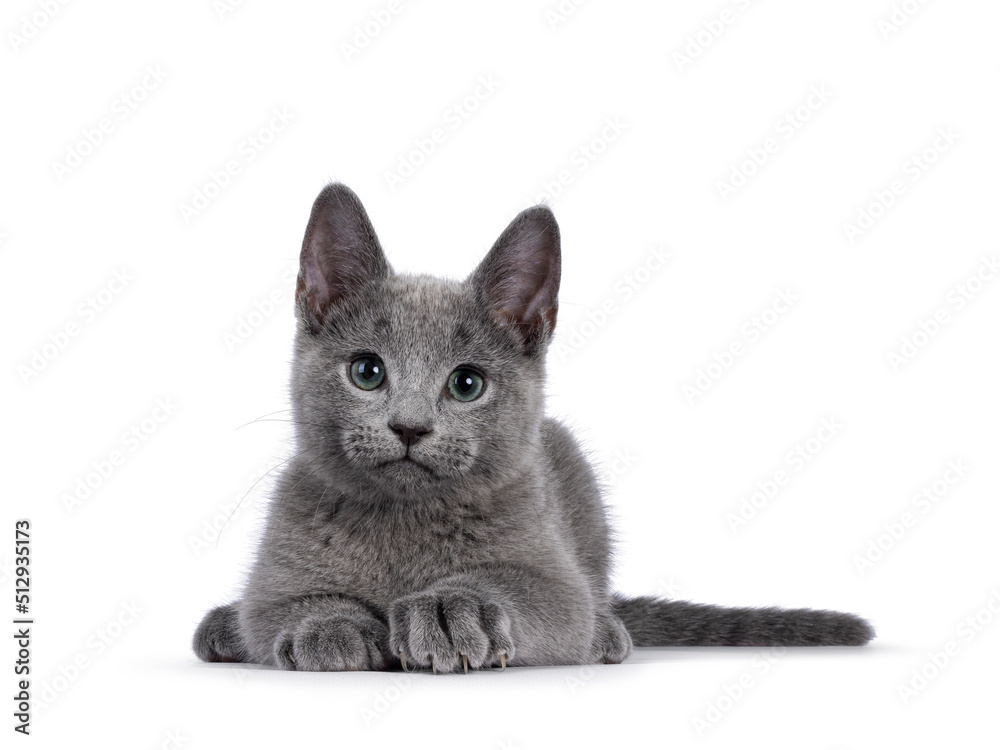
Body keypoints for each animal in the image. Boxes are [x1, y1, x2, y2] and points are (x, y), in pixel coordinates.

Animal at [191, 184, 872, 676]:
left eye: (467, 383)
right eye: (366, 371)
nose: (410, 426)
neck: (403, 526)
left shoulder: (553, 576)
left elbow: (539, 596)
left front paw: (451, 607)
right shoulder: (276, 575)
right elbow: (278, 607)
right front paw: (328, 627)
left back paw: (609, 634)